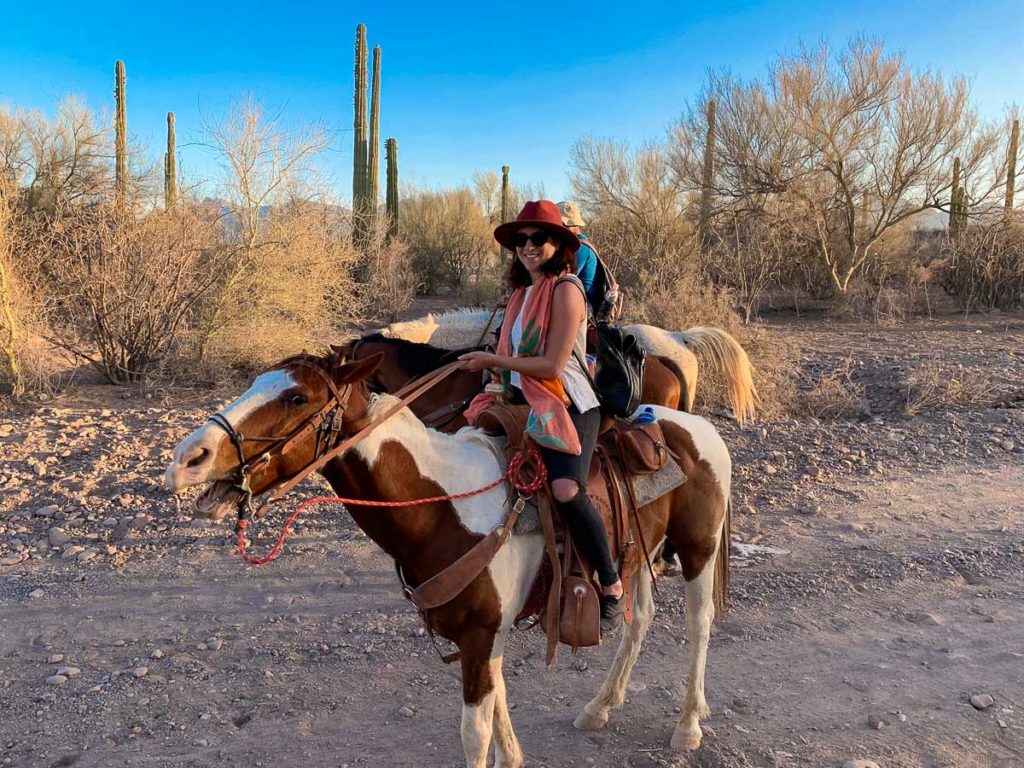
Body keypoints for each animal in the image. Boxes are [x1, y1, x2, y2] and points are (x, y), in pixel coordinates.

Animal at [163, 352, 733, 765]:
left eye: (296, 395)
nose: (186, 459)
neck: (441, 505)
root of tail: (698, 426)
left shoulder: (480, 636)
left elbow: (474, 733)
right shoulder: (484, 637)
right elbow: (499, 715)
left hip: (697, 549)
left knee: (699, 622)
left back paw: (688, 725)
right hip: (640, 553)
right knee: (640, 620)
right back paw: (600, 706)